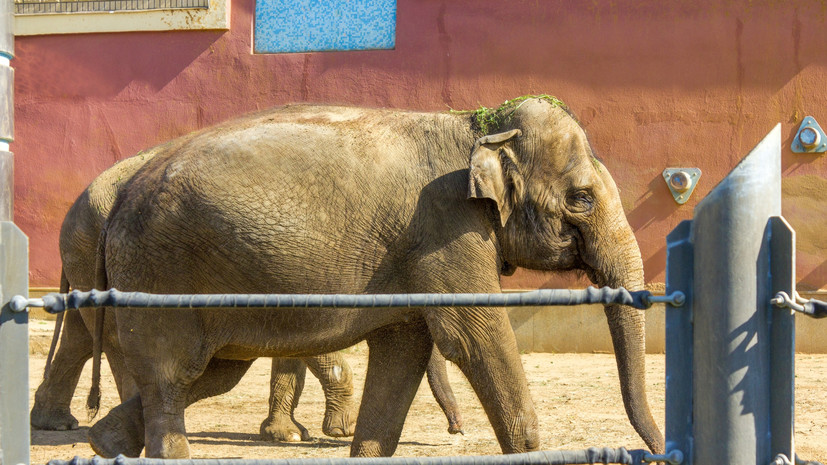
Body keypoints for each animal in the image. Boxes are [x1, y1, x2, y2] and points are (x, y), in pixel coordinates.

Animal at [29, 150, 462, 444]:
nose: (456, 430)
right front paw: (337, 431)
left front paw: (288, 434)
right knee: (116, 339)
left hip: (85, 257)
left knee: (82, 335)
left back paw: (56, 423)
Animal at [85, 97, 668, 456]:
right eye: (582, 199)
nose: (662, 452)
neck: (476, 125)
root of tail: (118, 199)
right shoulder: (445, 226)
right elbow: (474, 338)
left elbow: (403, 350)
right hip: (159, 274)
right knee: (171, 375)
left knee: (210, 375)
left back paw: (104, 443)